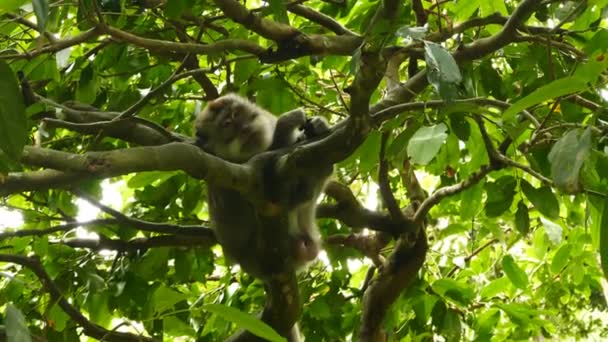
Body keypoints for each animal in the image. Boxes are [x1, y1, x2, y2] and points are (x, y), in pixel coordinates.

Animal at [194, 92, 332, 280]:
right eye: (227, 125)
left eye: (236, 113)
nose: (244, 128)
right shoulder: (229, 173)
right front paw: (286, 123)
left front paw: (318, 125)